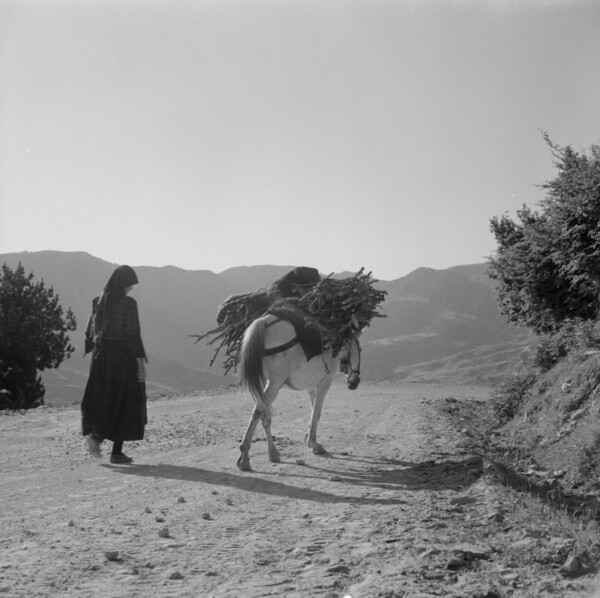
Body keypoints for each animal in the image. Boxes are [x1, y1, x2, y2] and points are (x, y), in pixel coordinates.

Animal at [238, 314, 360, 474]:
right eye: (360, 349)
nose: (355, 382)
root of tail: (264, 321)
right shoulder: (325, 382)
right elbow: (317, 412)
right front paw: (314, 444)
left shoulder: (310, 386)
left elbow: (313, 411)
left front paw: (310, 439)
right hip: (275, 384)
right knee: (258, 412)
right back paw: (245, 457)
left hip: (266, 383)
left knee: (264, 415)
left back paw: (272, 453)